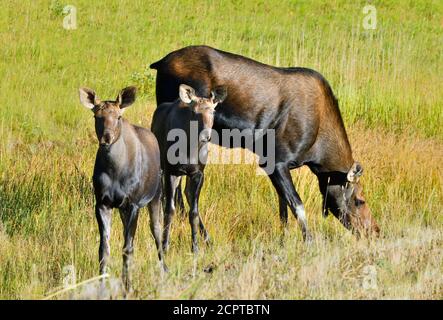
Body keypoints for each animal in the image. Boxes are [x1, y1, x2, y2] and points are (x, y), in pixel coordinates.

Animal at [78, 86, 166, 294]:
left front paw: (128, 287)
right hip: (122, 209)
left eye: (118, 116)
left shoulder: (133, 203)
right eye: (96, 116)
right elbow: (104, 248)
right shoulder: (102, 203)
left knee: (157, 232)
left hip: (155, 196)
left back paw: (164, 271)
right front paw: (102, 287)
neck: (115, 171)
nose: (106, 138)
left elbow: (128, 248)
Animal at [151, 45, 380, 240]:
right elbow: (298, 206)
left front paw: (284, 240)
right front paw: (308, 242)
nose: (375, 230)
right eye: (360, 200)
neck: (319, 156)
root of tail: (159, 63)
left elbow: (283, 209)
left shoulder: (274, 165)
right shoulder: (277, 162)